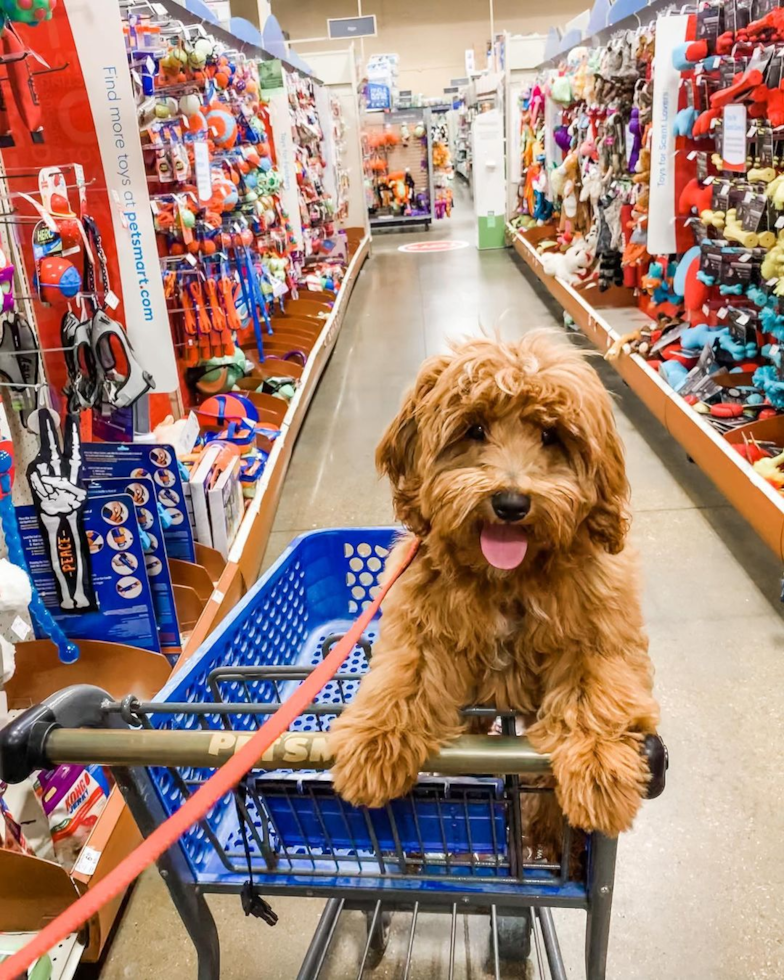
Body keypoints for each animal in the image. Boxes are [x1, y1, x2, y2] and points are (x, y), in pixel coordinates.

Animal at [328, 334, 660, 840]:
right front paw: (374, 742)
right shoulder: (423, 619)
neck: (508, 578)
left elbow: (597, 689)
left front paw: (599, 767)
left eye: (551, 435)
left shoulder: (601, 630)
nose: (510, 503)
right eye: (475, 429)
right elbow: (405, 674)